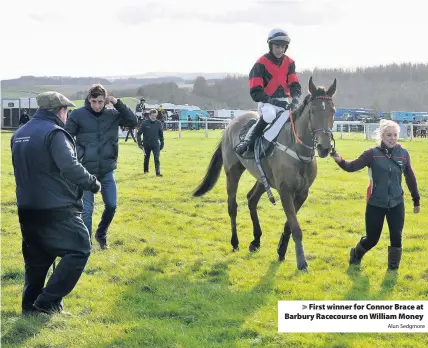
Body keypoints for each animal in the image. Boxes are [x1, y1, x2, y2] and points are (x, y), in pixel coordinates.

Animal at [194, 78, 338, 272]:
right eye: (313, 111)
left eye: (333, 110)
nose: (324, 147)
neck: (297, 150)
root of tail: (230, 124)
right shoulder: (285, 192)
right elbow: (295, 227)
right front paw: (301, 262)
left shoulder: (302, 193)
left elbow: (289, 225)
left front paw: (281, 250)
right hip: (232, 172)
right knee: (232, 206)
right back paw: (235, 242)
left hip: (263, 179)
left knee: (251, 199)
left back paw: (256, 240)